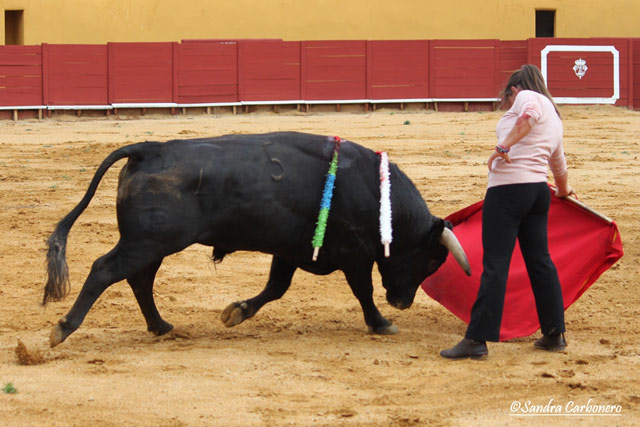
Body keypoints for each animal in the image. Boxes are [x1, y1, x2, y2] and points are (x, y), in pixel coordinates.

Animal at [42, 131, 468, 348]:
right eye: (433, 260)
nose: (402, 302)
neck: (377, 195)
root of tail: (149, 149)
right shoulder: (355, 256)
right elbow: (362, 291)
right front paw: (381, 323)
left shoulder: (291, 249)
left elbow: (276, 287)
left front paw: (236, 312)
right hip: (147, 241)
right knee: (105, 270)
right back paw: (63, 329)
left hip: (153, 244)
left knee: (139, 279)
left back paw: (161, 326)